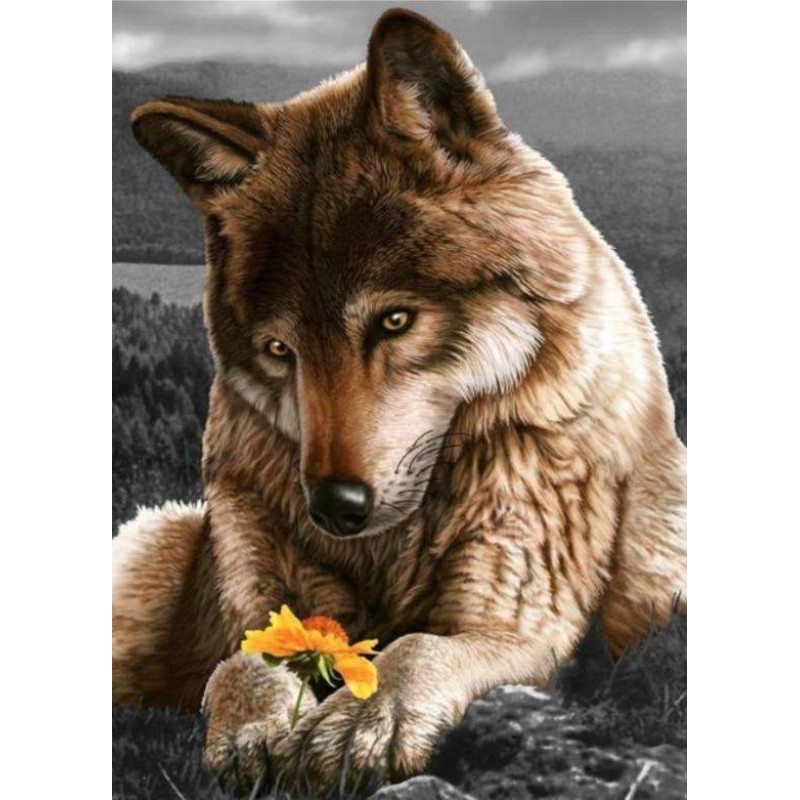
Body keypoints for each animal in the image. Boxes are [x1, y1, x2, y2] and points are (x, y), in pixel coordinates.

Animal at [113, 7, 686, 795]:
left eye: (393, 321)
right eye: (280, 350)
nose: (333, 507)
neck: (393, 549)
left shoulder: (518, 623)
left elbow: (415, 647)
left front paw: (363, 720)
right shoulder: (261, 597)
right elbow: (243, 660)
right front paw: (257, 730)